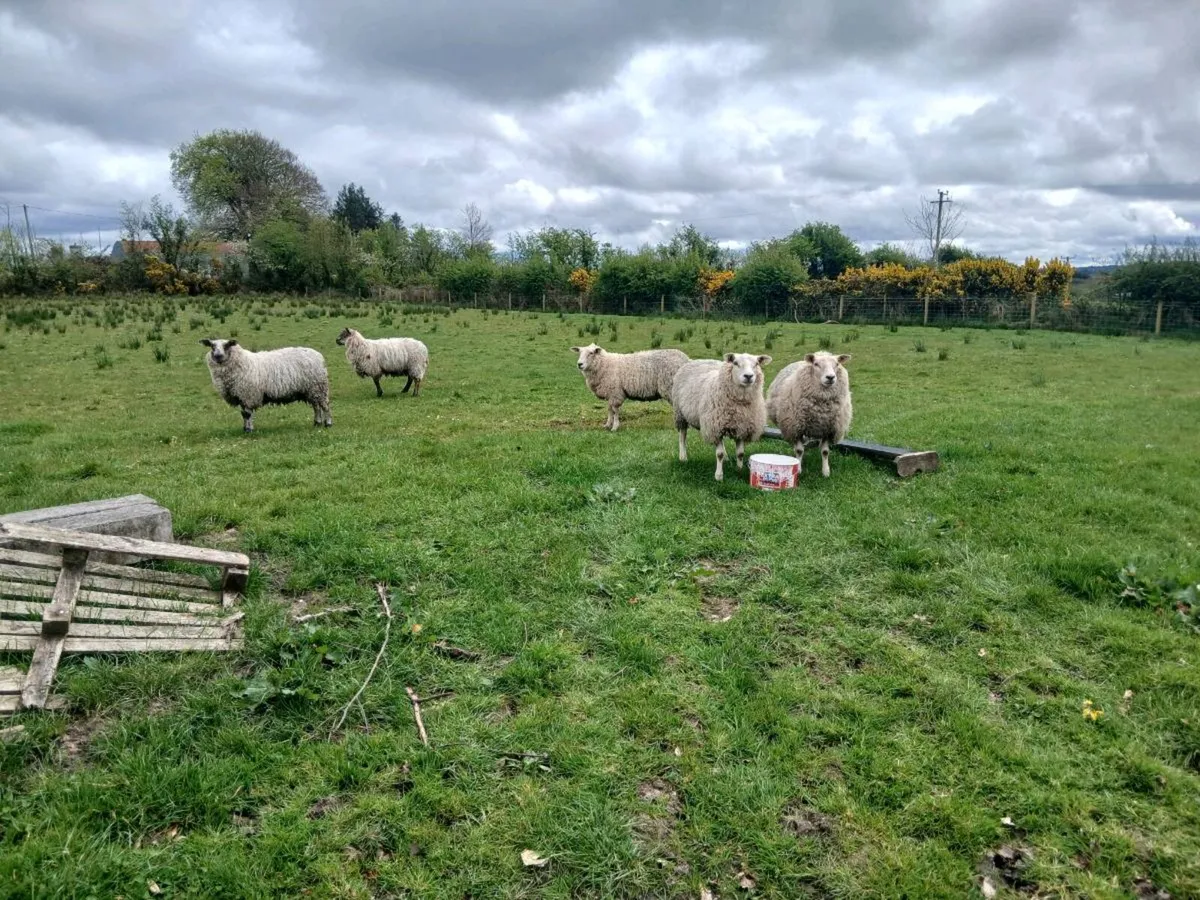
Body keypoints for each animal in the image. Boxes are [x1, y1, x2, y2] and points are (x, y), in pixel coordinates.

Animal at [200, 338, 332, 432]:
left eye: (227, 345)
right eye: (212, 346)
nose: (218, 356)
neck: (242, 362)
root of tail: (318, 355)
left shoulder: (248, 394)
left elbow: (247, 414)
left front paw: (249, 430)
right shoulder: (241, 395)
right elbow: (243, 414)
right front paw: (245, 428)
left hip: (319, 387)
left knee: (325, 406)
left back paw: (328, 424)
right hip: (311, 390)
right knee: (316, 407)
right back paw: (317, 423)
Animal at [671, 352, 772, 481]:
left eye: (757, 363)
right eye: (735, 363)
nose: (749, 376)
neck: (740, 405)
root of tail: (696, 360)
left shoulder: (741, 427)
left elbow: (740, 453)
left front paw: (739, 470)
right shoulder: (715, 427)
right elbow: (719, 454)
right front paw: (719, 476)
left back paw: (726, 458)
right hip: (680, 414)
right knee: (682, 436)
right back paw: (683, 457)